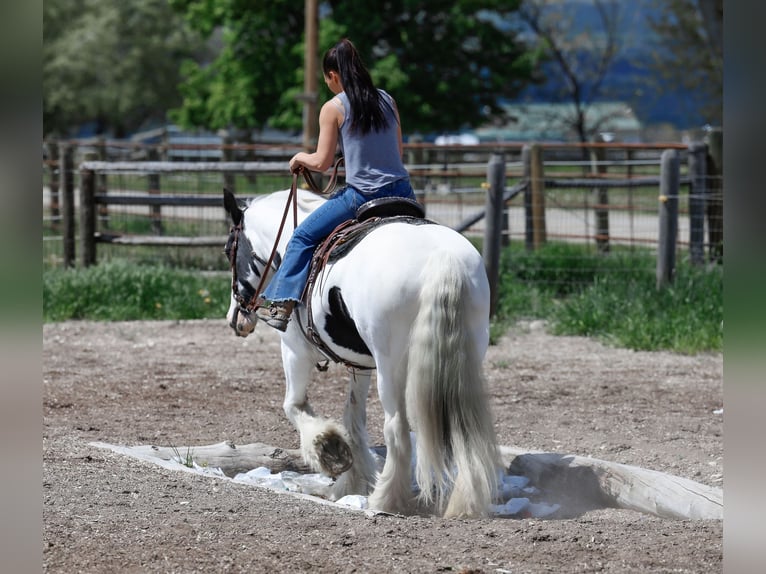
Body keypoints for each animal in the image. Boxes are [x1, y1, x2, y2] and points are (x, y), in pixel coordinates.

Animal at [222, 187, 500, 520]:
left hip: (391, 365)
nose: (235, 319)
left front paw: (328, 448)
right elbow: (354, 415)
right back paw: (464, 502)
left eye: (228, 249)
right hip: (467, 358)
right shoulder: (360, 363)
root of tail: (443, 259)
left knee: (397, 429)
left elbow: (293, 405)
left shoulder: (293, 349)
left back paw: (384, 500)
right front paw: (350, 481)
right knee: (464, 429)